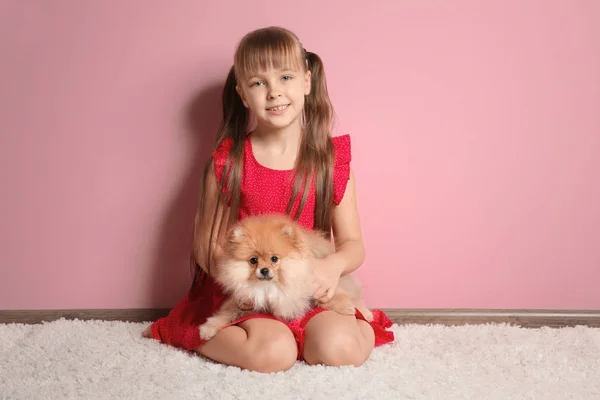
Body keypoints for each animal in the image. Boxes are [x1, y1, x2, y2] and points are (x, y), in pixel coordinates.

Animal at [199, 212, 372, 340]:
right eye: (253, 260)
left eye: (274, 259)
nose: (264, 270)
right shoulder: (245, 300)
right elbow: (227, 312)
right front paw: (208, 328)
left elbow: (332, 297)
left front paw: (346, 308)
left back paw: (366, 313)